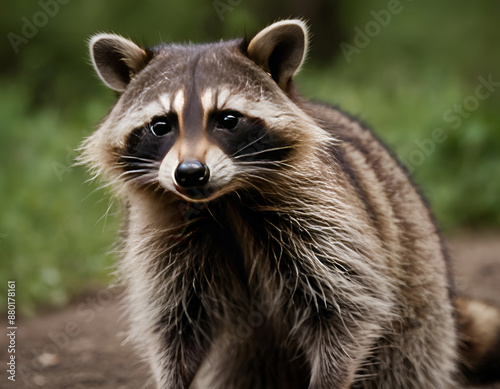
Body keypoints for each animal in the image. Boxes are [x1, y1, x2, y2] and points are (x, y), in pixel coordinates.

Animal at [82, 19, 500, 386]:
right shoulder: (163, 238)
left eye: (228, 119)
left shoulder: (324, 215)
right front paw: (170, 377)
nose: (190, 173)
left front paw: (331, 377)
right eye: (161, 125)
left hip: (421, 306)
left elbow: (345, 311)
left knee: (405, 363)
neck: (224, 201)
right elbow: (175, 324)